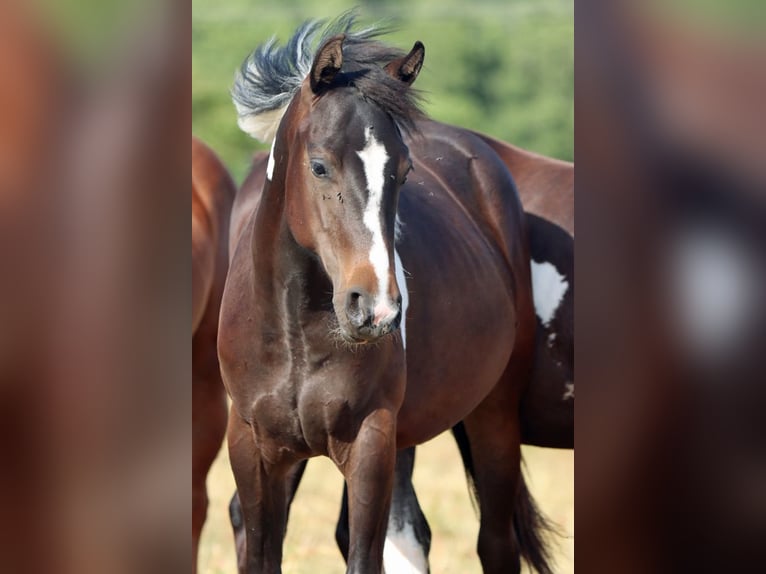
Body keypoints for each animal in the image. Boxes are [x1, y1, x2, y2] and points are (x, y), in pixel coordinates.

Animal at [218, 17, 550, 574]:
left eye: (404, 170)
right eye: (319, 166)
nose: (375, 310)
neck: (295, 333)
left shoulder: (370, 442)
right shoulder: (253, 446)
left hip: (494, 417)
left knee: (495, 541)